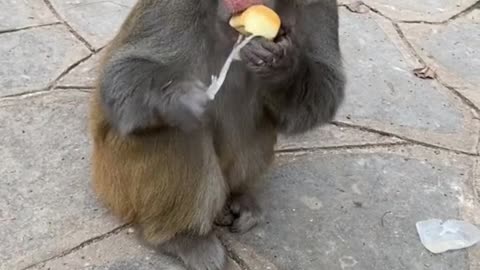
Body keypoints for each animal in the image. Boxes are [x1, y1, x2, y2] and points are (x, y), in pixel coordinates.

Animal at [89, 0, 344, 270]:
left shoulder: (319, 5)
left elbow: (324, 92)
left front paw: (281, 66)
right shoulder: (176, 6)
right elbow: (125, 70)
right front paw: (177, 101)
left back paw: (239, 196)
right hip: (116, 180)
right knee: (180, 132)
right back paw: (183, 237)